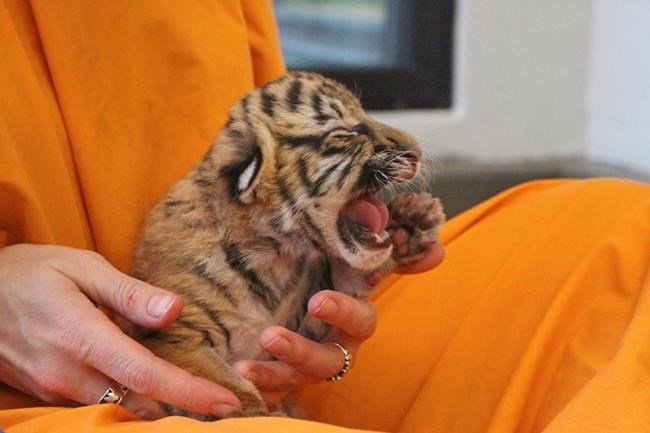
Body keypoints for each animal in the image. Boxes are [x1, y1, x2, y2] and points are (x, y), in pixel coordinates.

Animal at [117, 71, 445, 419]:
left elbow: (345, 277)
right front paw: (258, 414)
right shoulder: (173, 336)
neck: (273, 254)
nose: (416, 150)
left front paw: (411, 222)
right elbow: (226, 385)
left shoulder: (300, 322)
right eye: (346, 132)